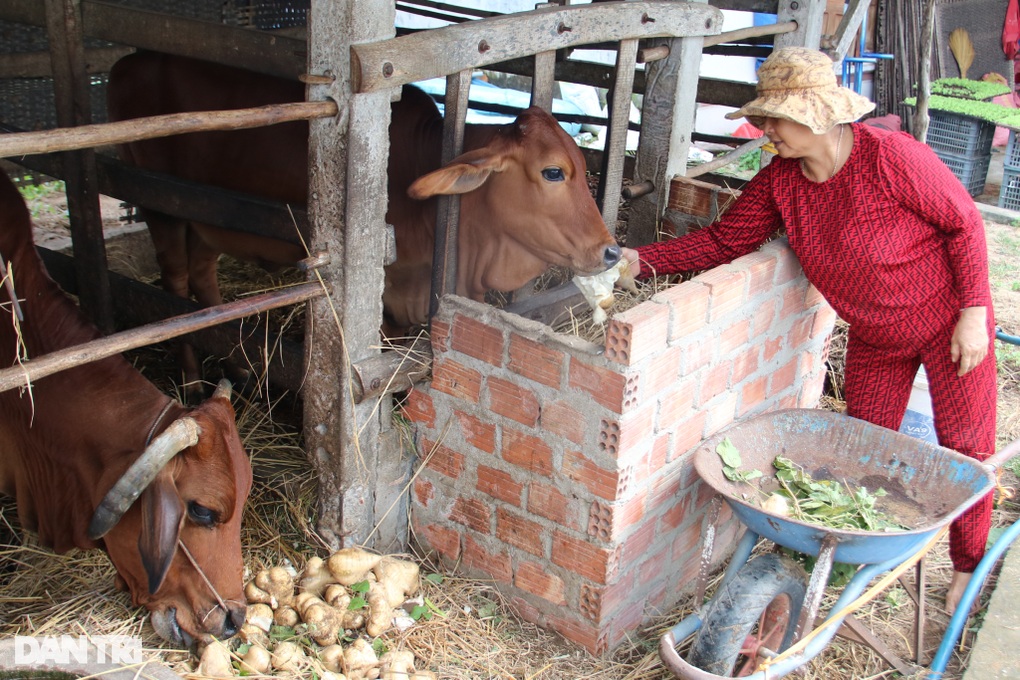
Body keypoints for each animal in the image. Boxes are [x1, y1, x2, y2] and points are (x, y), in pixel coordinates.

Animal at [105, 51, 620, 393]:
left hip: (205, 215)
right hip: (160, 205)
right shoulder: (385, 309)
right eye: (553, 171)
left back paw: (238, 368)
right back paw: (193, 381)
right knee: (173, 285)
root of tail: (130, 61)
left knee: (202, 278)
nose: (612, 250)